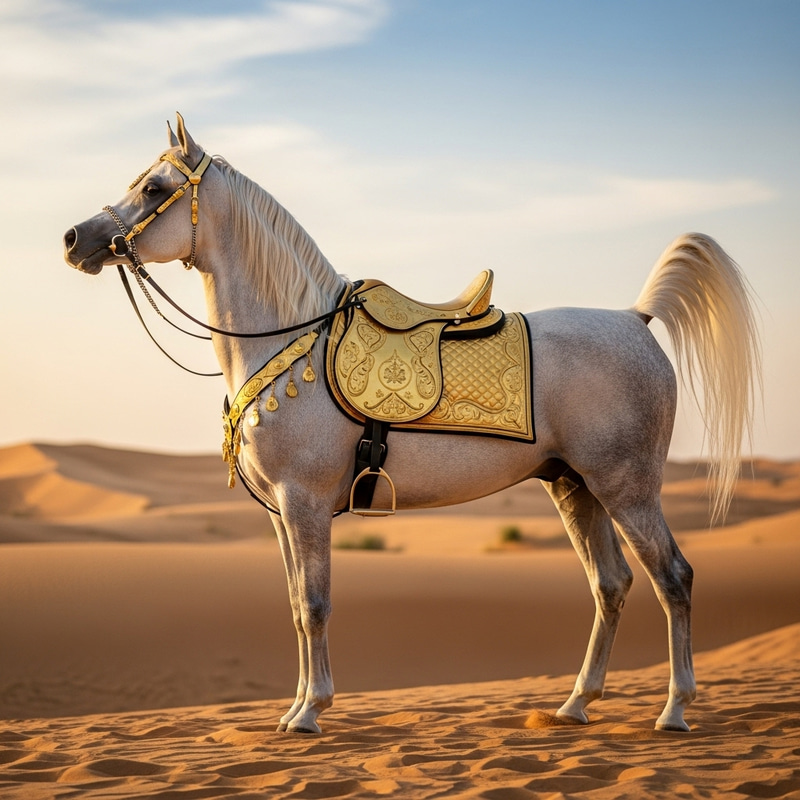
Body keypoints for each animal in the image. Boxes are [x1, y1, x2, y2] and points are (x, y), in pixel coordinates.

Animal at [63, 114, 760, 734]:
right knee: (610, 585)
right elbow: (295, 607)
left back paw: (674, 710)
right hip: (574, 487)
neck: (288, 340)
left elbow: (314, 605)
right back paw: (575, 704)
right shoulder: (281, 514)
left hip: (627, 488)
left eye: (155, 188)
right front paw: (295, 709)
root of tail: (635, 319)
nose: (74, 239)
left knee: (673, 578)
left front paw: (311, 712)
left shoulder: (304, 503)